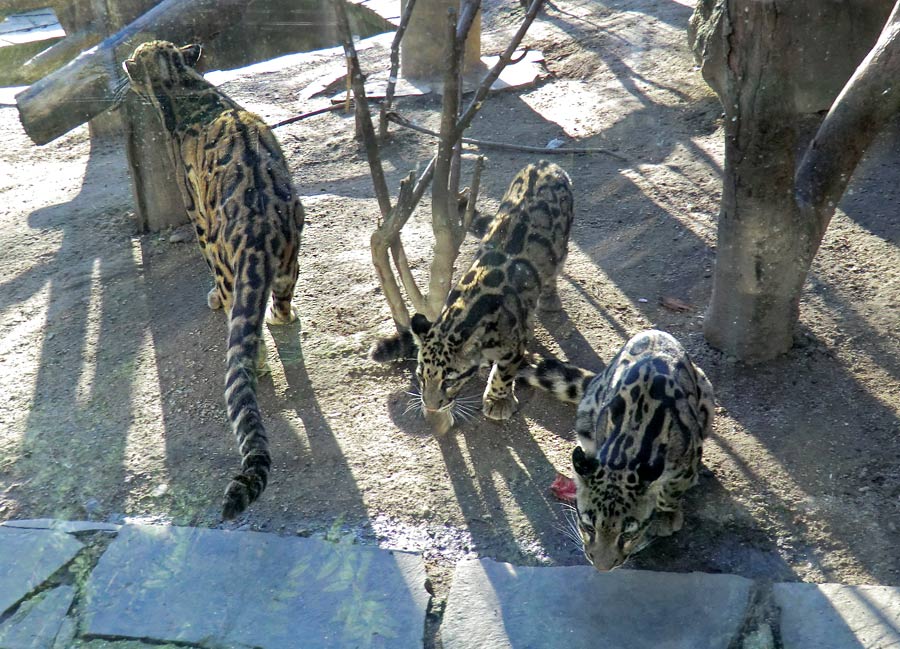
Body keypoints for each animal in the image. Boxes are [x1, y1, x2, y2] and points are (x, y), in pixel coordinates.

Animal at [121, 39, 304, 516]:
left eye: (137, 57)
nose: (126, 67)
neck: (186, 84)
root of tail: (258, 227)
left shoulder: (194, 211)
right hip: (292, 250)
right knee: (281, 298)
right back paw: (283, 318)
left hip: (226, 256)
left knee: (240, 324)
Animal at [374, 160, 572, 432]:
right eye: (420, 376)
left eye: (449, 381)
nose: (431, 407)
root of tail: (544, 164)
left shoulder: (513, 345)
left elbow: (503, 372)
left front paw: (497, 400)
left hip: (561, 243)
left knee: (554, 266)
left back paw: (550, 299)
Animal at [520, 332, 712, 568]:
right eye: (589, 527)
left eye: (627, 534)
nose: (602, 567)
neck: (627, 449)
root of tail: (653, 332)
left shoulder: (689, 455)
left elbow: (671, 491)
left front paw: (666, 517)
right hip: (586, 416)